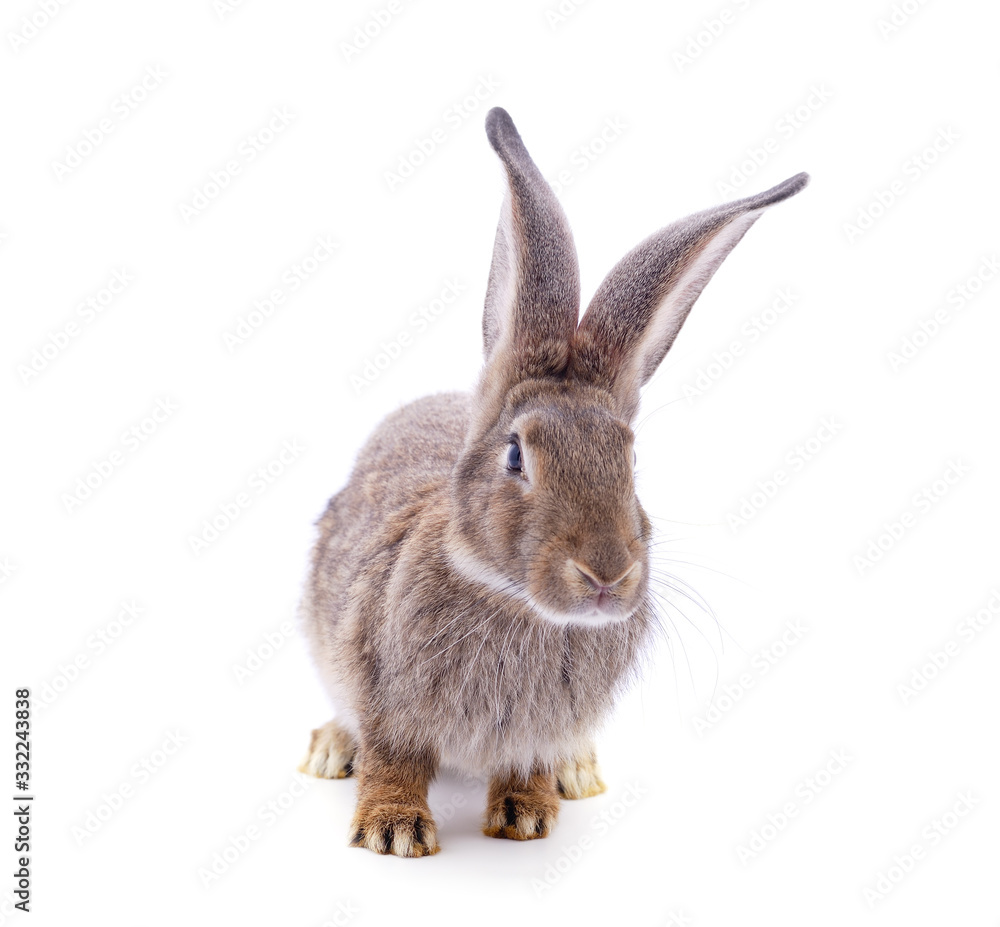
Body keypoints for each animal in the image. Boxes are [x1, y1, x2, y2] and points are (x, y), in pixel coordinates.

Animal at [298, 106, 808, 857]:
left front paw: (527, 815)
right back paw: (332, 750)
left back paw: (578, 772)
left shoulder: (538, 729)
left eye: (630, 458)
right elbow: (396, 759)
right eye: (516, 456)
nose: (607, 574)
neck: (516, 603)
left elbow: (526, 765)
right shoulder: (385, 691)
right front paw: (394, 830)